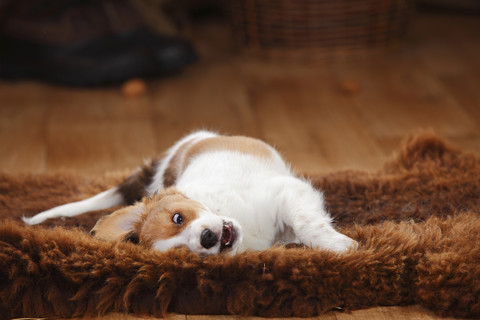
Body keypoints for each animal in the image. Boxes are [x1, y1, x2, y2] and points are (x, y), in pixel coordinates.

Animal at [25, 130, 356, 255]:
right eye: (183, 251)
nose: (207, 239)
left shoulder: (287, 191)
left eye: (178, 217)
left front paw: (341, 246)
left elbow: (307, 223)